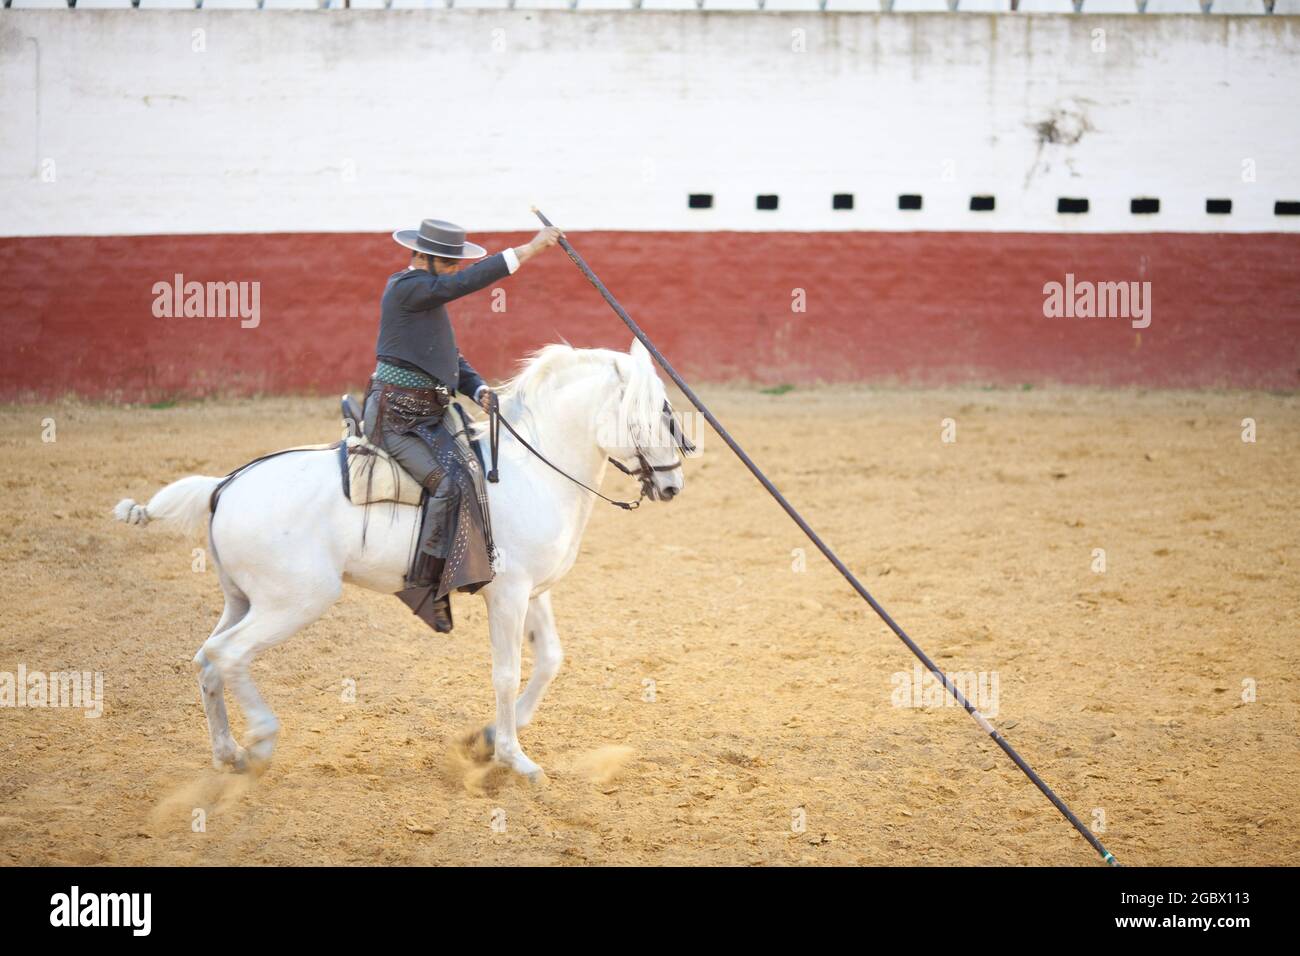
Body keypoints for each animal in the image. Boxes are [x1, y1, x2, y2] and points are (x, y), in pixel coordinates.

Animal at [118, 340, 691, 780]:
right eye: (659, 411)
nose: (672, 485)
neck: (530, 470)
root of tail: (225, 485)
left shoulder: (533, 592)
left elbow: (550, 658)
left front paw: (489, 737)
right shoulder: (507, 594)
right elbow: (506, 672)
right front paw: (514, 759)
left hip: (241, 600)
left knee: (206, 659)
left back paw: (228, 752)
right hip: (293, 602)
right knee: (229, 654)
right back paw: (260, 738)